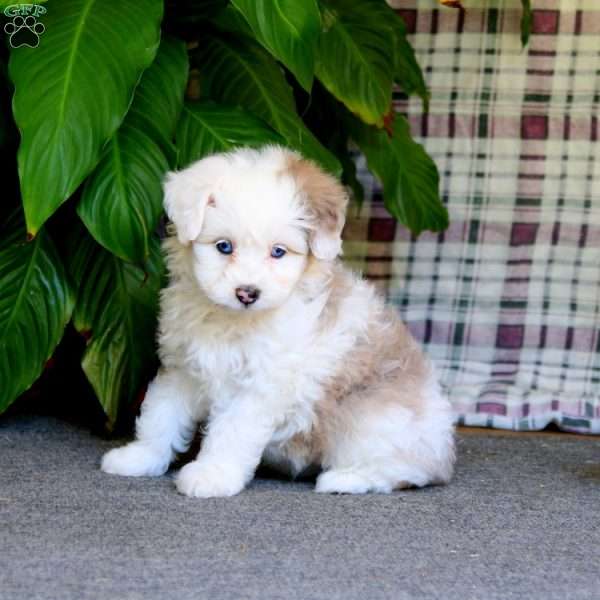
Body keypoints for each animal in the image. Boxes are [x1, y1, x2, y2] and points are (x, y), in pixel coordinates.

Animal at [101, 145, 454, 496]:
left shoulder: (261, 386)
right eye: (224, 246)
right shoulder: (183, 369)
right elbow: (161, 414)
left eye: (279, 252)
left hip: (375, 417)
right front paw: (139, 457)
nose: (247, 293)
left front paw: (212, 475)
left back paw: (345, 479)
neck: (234, 321)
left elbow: (231, 431)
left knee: (404, 469)